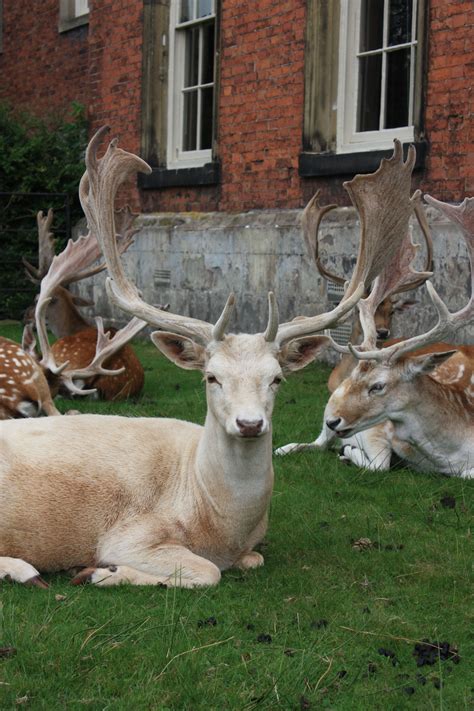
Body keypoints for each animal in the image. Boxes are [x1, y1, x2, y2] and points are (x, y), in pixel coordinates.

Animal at [0, 126, 416, 588]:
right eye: (211, 377)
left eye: (276, 378)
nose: (250, 424)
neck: (220, 524)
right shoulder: (128, 535)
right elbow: (206, 571)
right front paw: (100, 572)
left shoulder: (246, 550)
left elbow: (254, 560)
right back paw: (24, 568)